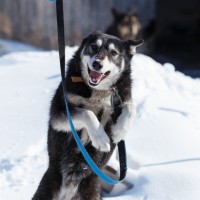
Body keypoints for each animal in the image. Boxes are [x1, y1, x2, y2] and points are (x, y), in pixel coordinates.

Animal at [32, 31, 142, 200]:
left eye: (113, 52)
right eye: (94, 47)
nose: (97, 64)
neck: (98, 92)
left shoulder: (120, 100)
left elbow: (131, 108)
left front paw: (119, 131)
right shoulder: (59, 115)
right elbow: (87, 113)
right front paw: (101, 139)